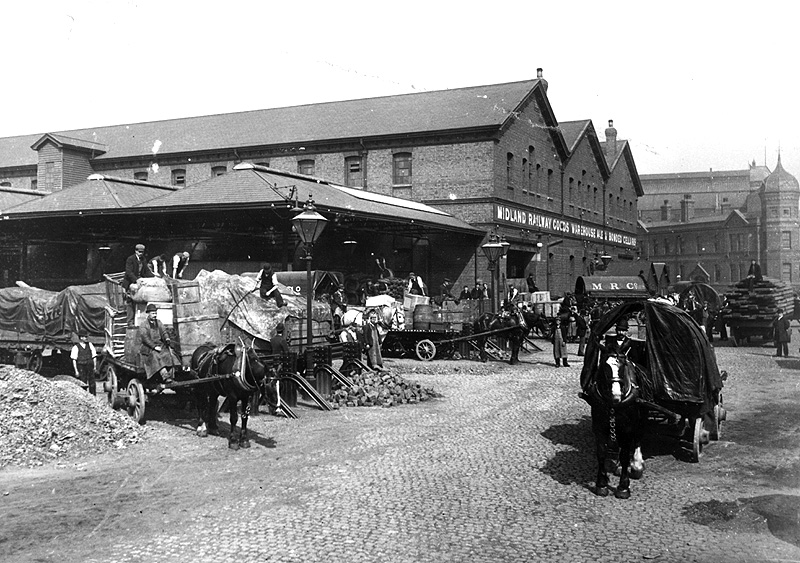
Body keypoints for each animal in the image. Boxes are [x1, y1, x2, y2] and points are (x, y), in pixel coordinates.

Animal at [580, 346, 648, 500]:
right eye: (604, 367)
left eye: (622, 366)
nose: (616, 396)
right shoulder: (599, 427)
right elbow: (601, 453)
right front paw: (601, 484)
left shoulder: (627, 429)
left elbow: (625, 455)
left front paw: (623, 487)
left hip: (640, 420)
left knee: (637, 438)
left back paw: (636, 465)